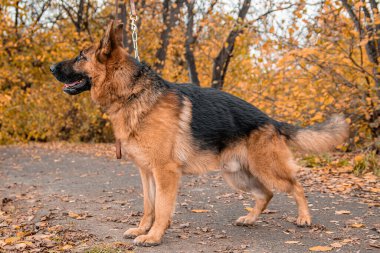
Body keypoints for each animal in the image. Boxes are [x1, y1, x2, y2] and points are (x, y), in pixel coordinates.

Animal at [49, 20, 348, 246]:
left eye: (80, 56)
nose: (51, 67)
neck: (132, 92)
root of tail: (271, 120)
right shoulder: (146, 172)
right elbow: (149, 205)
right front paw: (142, 229)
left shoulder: (165, 172)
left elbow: (162, 208)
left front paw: (154, 236)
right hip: (238, 176)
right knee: (266, 194)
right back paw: (250, 219)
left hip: (267, 169)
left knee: (296, 186)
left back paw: (304, 218)